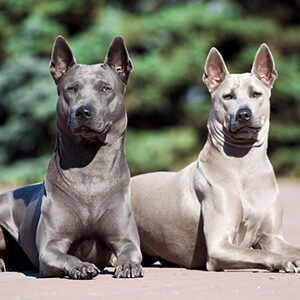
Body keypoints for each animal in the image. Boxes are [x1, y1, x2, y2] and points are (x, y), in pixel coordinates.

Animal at [0, 35, 143, 278]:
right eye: (72, 89)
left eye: (105, 88)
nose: (83, 111)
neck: (90, 172)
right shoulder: (51, 247)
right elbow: (66, 256)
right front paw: (81, 265)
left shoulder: (126, 239)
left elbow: (130, 252)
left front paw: (128, 265)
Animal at [131, 44, 300, 272]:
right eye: (228, 96)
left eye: (256, 94)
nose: (244, 114)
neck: (244, 166)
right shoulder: (219, 246)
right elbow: (261, 253)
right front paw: (284, 261)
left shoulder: (272, 237)